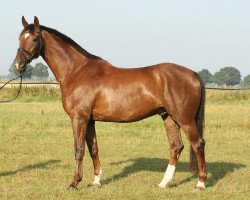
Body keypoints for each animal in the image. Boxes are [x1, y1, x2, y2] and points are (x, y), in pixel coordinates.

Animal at [12, 16, 207, 190]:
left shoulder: (79, 118)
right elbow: (93, 148)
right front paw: (97, 180)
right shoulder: (90, 120)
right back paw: (163, 183)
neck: (77, 71)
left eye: (34, 38)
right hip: (169, 117)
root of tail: (194, 74)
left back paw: (200, 183)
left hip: (185, 120)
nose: (17, 65)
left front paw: (74, 182)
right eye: (20, 38)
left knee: (198, 144)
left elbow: (79, 149)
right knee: (176, 147)